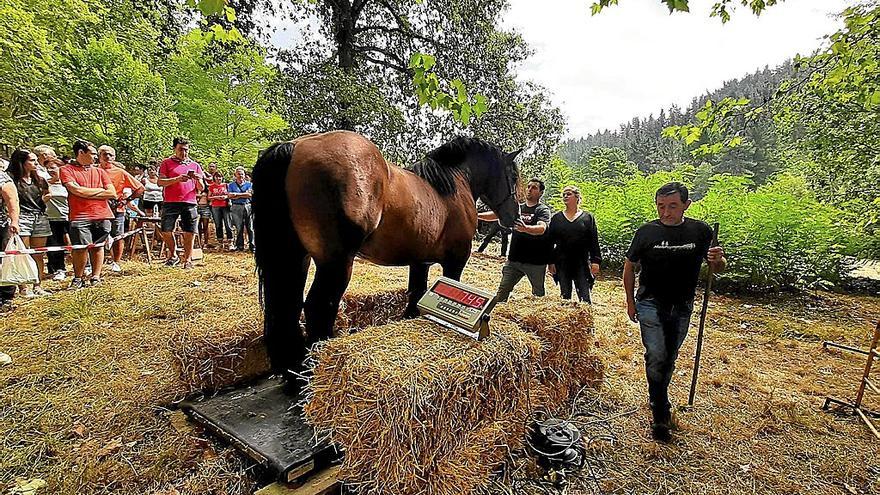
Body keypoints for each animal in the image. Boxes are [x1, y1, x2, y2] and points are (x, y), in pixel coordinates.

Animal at [251, 131, 520, 380]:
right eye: (514, 178)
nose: (514, 218)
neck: (452, 186)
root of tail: (295, 146)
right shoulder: (454, 263)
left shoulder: (420, 263)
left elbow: (416, 294)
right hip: (336, 263)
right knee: (317, 307)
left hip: (296, 259)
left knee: (289, 307)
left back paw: (292, 374)